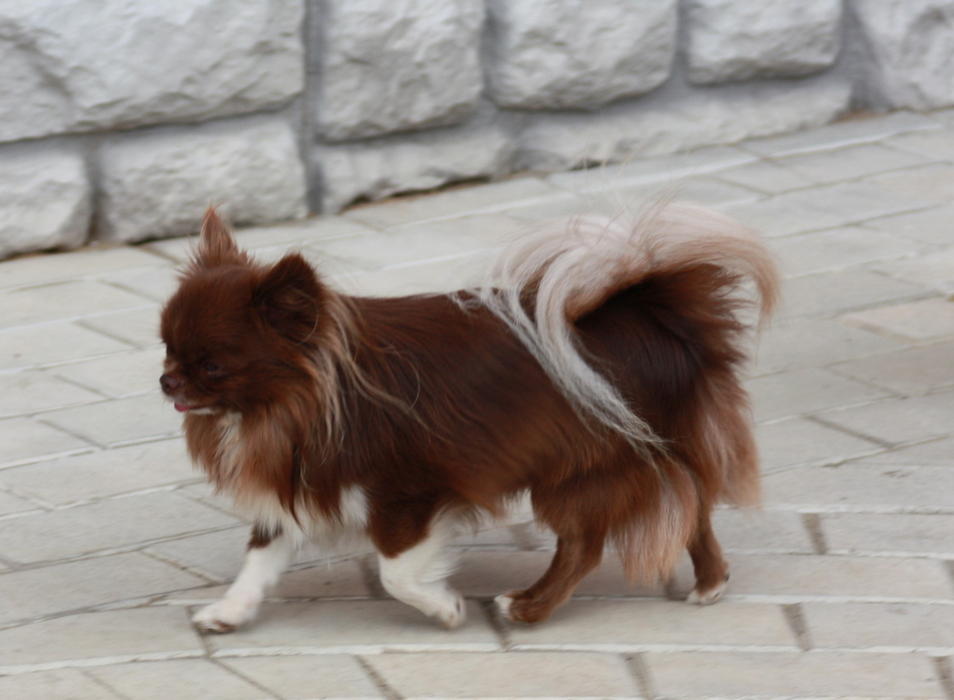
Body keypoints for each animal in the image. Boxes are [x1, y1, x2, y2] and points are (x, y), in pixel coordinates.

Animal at [159, 202, 778, 632]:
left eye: (211, 365)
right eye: (166, 348)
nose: (166, 380)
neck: (283, 407)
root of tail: (652, 314)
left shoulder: (410, 493)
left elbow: (396, 571)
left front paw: (445, 607)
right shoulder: (299, 488)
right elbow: (260, 560)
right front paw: (228, 612)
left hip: (584, 468)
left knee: (585, 546)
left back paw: (528, 608)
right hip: (652, 452)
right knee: (693, 508)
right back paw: (710, 583)